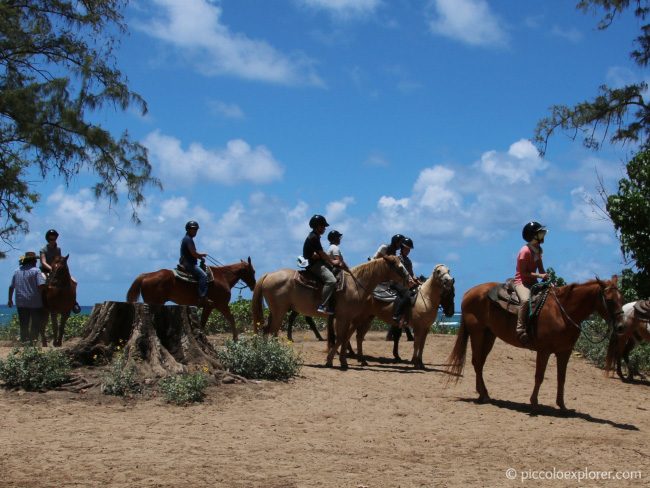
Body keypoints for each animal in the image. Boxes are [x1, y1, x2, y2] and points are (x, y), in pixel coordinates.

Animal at [126, 258, 256, 342]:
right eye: (253, 271)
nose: (254, 286)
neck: (223, 277)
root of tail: (146, 275)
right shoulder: (220, 305)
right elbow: (231, 319)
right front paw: (235, 339)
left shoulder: (211, 306)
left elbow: (204, 322)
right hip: (155, 302)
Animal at [251, 254, 408, 368]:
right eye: (400, 267)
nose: (410, 280)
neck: (355, 285)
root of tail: (269, 274)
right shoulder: (344, 317)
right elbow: (341, 337)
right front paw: (333, 361)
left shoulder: (348, 318)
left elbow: (344, 338)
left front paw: (342, 361)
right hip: (280, 312)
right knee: (273, 332)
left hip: (274, 312)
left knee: (267, 331)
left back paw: (266, 354)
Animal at [446, 276, 624, 410]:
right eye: (609, 300)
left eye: (621, 299)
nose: (621, 326)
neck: (563, 312)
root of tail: (468, 293)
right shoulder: (544, 351)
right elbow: (539, 376)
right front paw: (534, 403)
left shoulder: (565, 352)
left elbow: (562, 378)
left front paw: (562, 405)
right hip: (477, 333)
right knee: (477, 362)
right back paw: (484, 396)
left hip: (489, 335)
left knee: (480, 363)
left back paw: (483, 394)